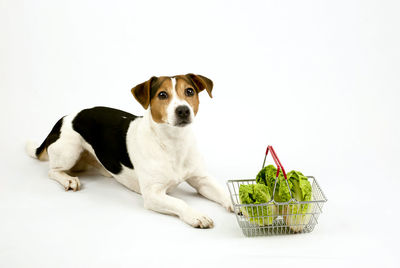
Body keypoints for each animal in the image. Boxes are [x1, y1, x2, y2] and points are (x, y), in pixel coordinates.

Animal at [25, 73, 234, 228]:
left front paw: (237, 205)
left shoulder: (202, 180)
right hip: (70, 149)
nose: (183, 110)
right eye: (162, 95)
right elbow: (180, 202)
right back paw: (68, 179)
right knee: (53, 171)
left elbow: (223, 192)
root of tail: (64, 118)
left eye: (189, 91)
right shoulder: (152, 194)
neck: (173, 143)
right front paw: (196, 215)